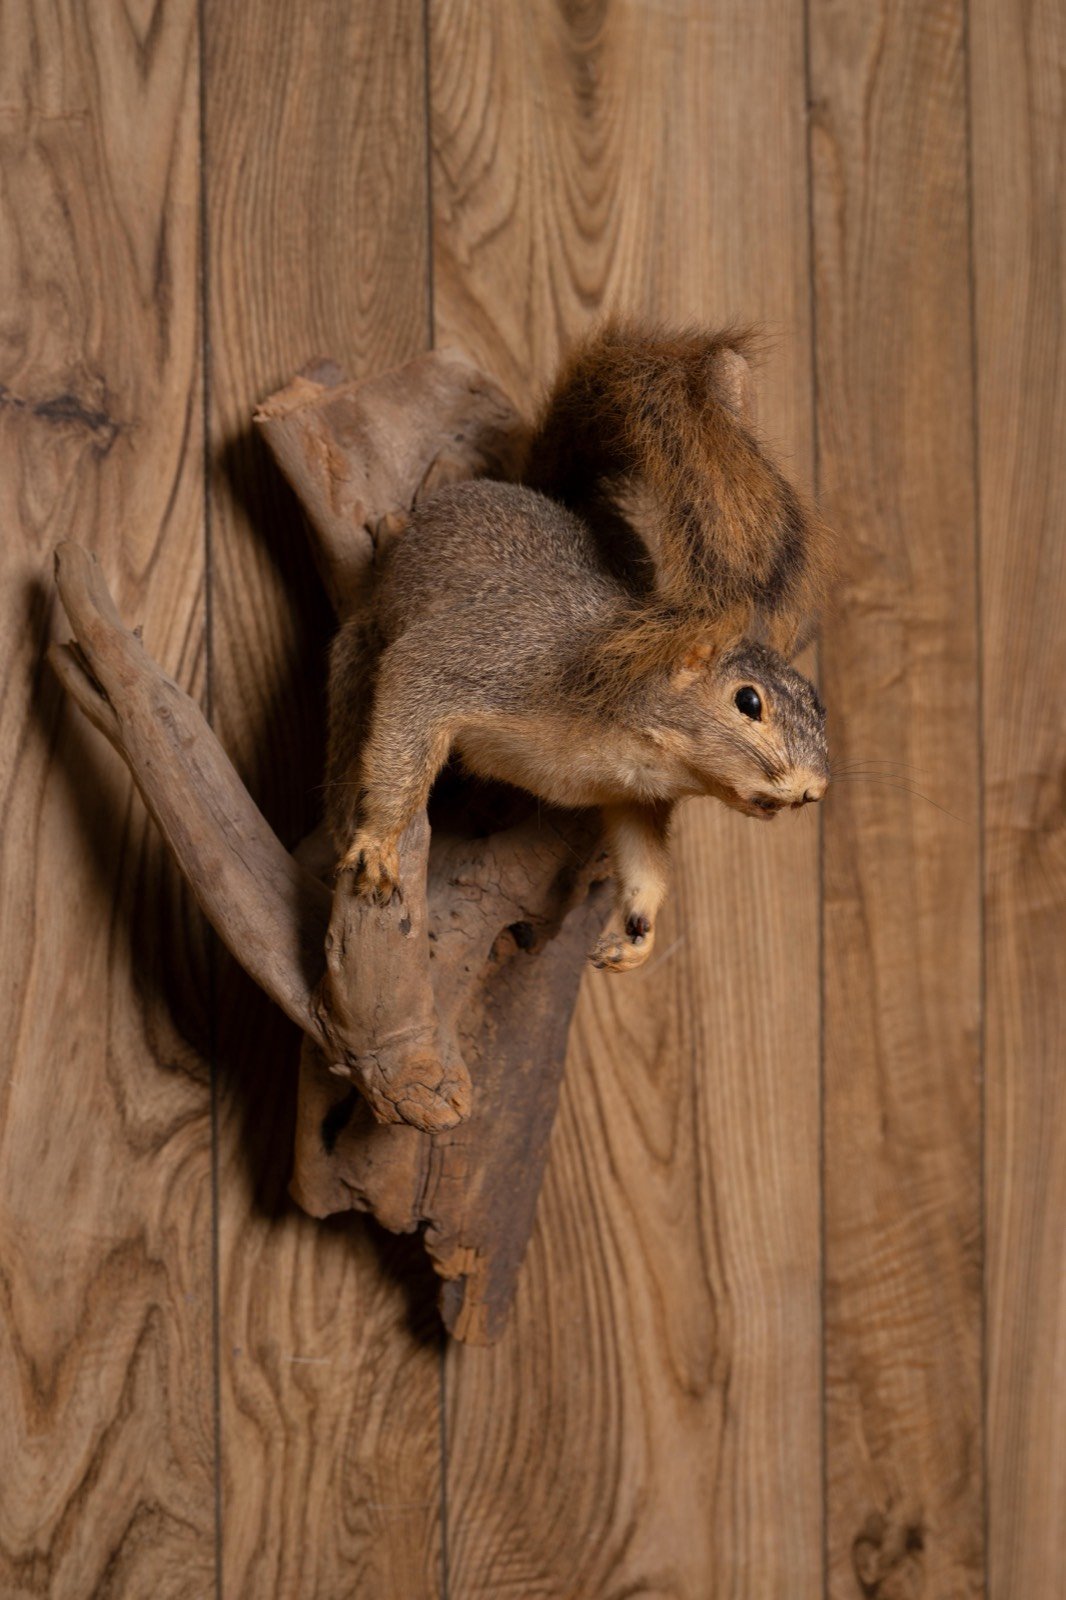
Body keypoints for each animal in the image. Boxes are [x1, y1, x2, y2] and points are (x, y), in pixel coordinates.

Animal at [325, 323, 832, 972]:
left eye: (818, 703)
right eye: (748, 702)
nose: (814, 790)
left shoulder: (633, 795)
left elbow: (643, 856)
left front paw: (639, 931)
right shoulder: (500, 658)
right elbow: (414, 686)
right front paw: (380, 840)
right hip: (365, 637)